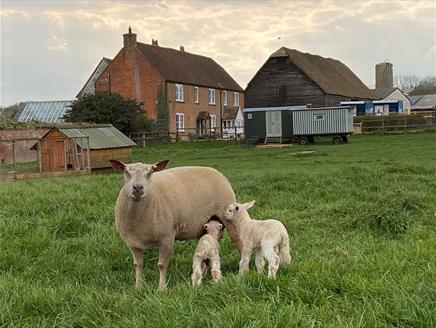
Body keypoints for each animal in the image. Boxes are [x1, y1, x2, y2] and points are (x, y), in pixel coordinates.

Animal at [110, 159, 237, 290]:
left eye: (150, 172)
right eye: (126, 171)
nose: (138, 188)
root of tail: (218, 173)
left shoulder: (167, 238)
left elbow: (161, 265)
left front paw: (161, 288)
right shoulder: (133, 243)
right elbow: (138, 265)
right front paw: (138, 286)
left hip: (230, 219)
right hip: (203, 228)